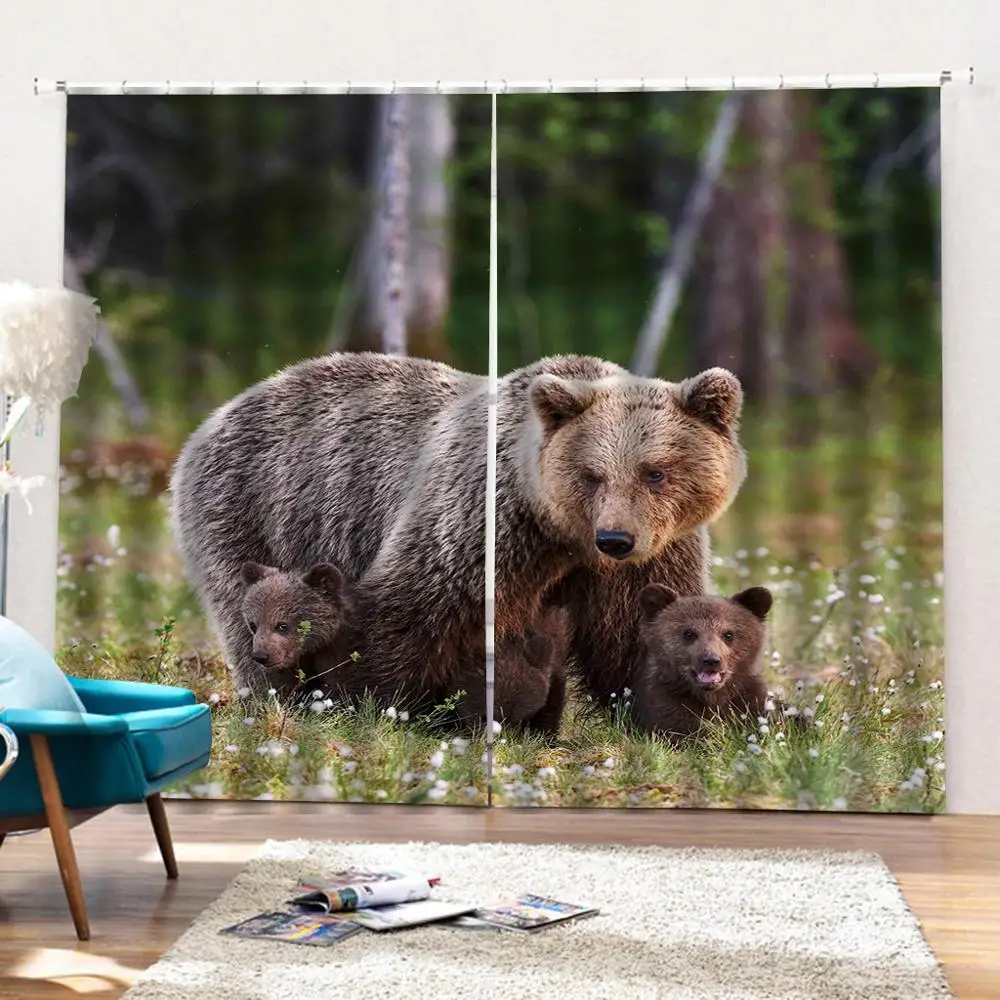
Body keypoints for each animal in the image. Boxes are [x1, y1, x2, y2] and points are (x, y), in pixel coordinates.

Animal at [169, 351, 745, 727]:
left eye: (656, 472)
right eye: (592, 474)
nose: (616, 539)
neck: (559, 535)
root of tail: (215, 416)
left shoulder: (651, 554)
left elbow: (635, 631)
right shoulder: (480, 523)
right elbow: (409, 611)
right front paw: (381, 706)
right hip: (252, 510)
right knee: (253, 614)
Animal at [628, 584, 772, 742]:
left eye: (728, 634)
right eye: (689, 633)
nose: (711, 660)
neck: (711, 698)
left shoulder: (748, 698)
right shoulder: (667, 702)